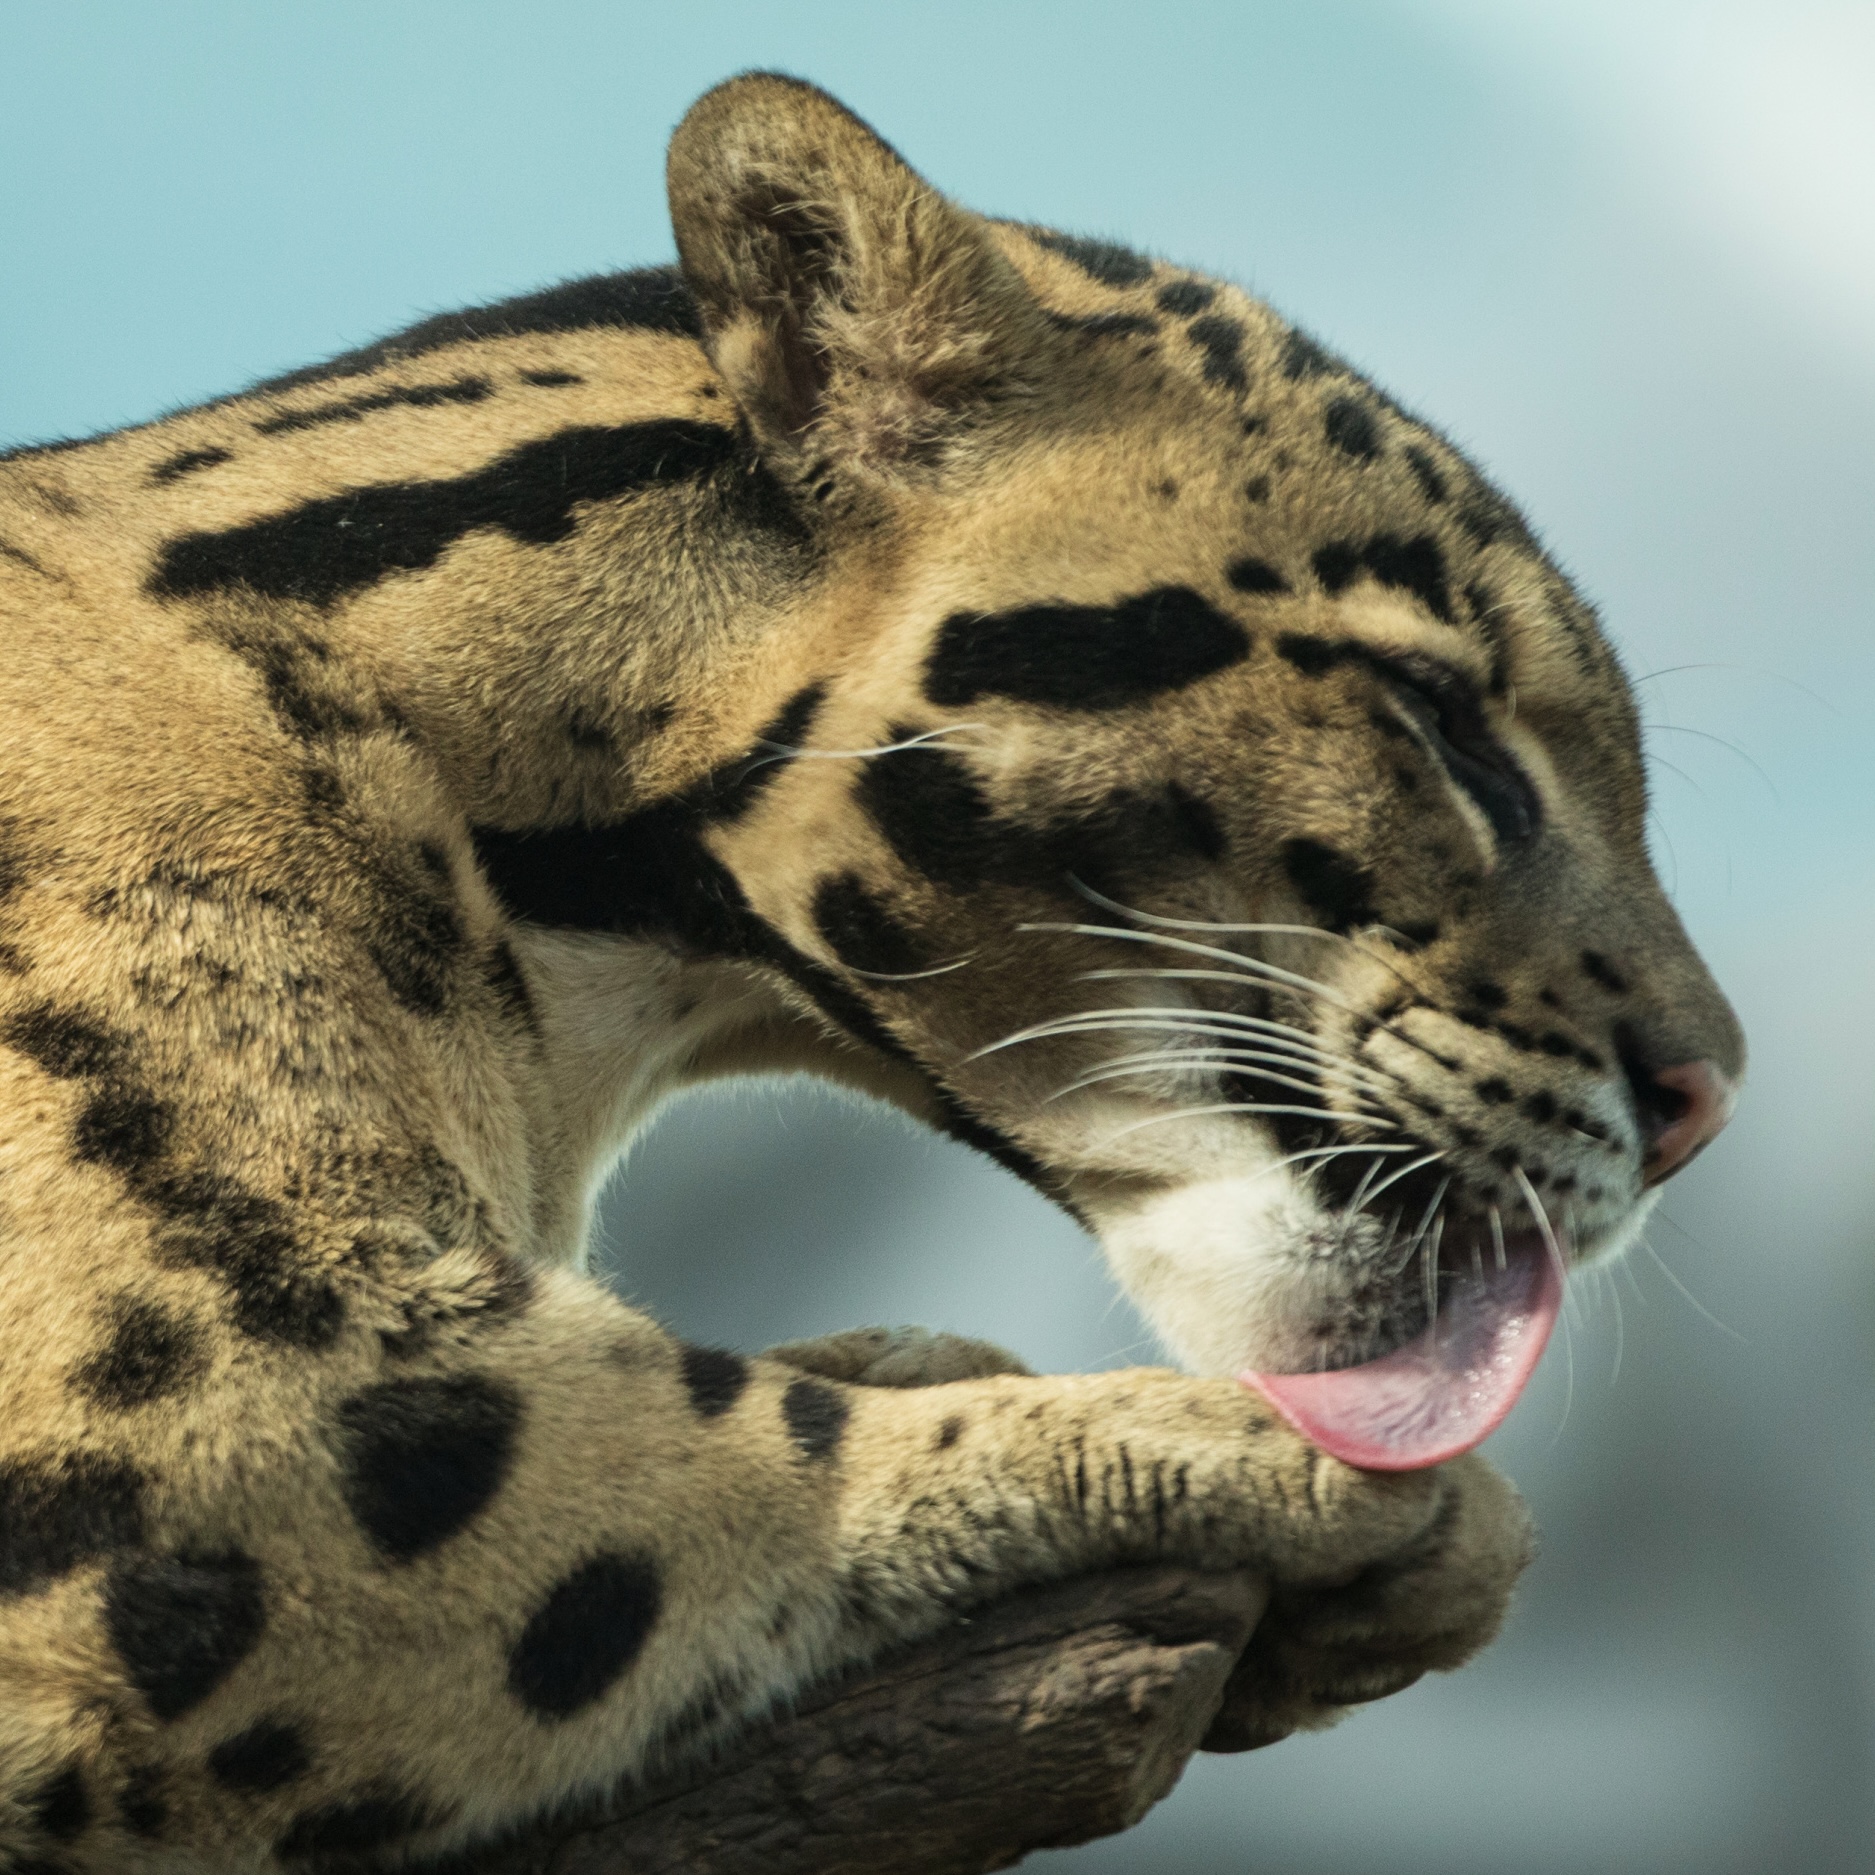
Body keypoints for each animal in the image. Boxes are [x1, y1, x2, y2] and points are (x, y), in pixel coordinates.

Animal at [0, 72, 1742, 1873]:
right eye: (1443, 716)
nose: (1705, 1093)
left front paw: (925, 1354)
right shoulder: (222, 1405)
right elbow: (738, 1449)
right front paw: (1287, 1467)